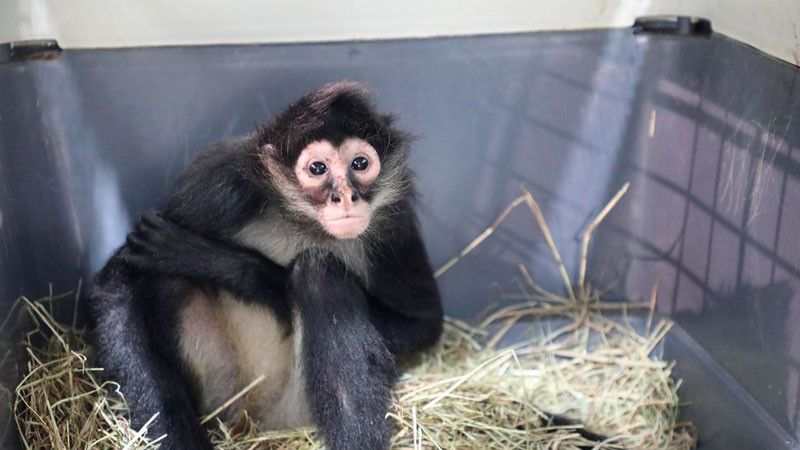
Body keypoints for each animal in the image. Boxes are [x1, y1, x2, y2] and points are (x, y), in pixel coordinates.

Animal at [88, 82, 443, 450]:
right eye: (317, 169)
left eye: (360, 163)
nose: (346, 197)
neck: (305, 224)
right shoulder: (216, 184)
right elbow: (116, 282)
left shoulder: (395, 220)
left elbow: (423, 325)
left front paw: (235, 267)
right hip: (225, 390)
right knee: (166, 279)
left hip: (290, 408)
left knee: (318, 274)